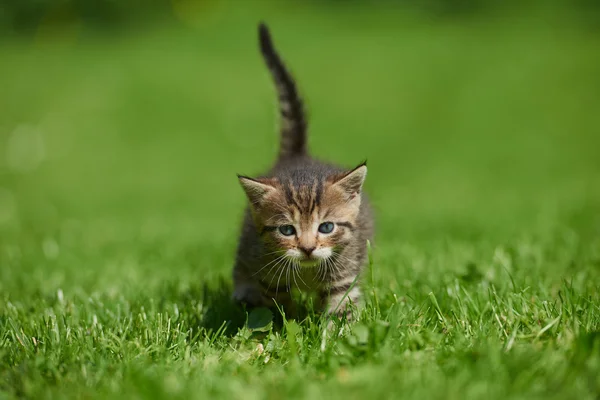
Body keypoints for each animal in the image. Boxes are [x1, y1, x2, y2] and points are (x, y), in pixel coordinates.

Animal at [231, 22, 376, 322]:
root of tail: (298, 154)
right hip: (249, 242)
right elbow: (278, 308)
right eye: (287, 230)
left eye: (326, 227)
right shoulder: (270, 275)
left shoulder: (344, 278)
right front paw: (285, 325)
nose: (308, 248)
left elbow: (341, 310)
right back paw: (244, 291)